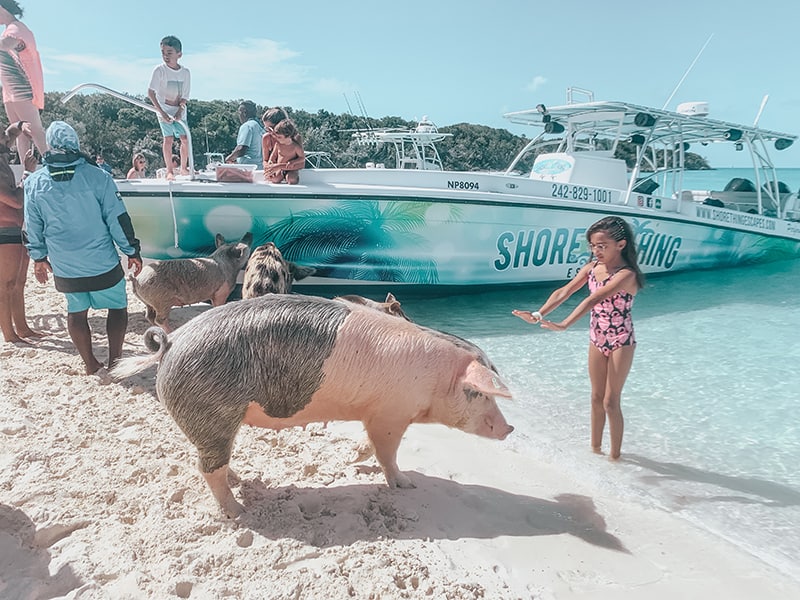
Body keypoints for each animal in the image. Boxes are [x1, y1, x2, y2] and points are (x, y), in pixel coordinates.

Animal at [111, 292, 512, 516]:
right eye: (479, 393)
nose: (509, 428)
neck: (435, 379)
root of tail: (171, 343)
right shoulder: (390, 413)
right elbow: (388, 452)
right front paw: (407, 485)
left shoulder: (375, 414)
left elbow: (370, 444)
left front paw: (358, 460)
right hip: (212, 410)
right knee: (208, 468)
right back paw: (238, 513)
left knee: (211, 461)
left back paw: (240, 481)